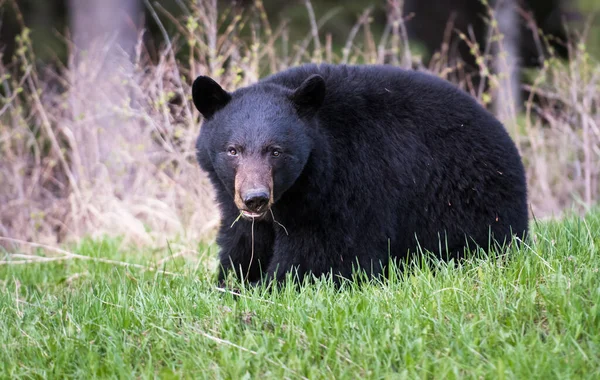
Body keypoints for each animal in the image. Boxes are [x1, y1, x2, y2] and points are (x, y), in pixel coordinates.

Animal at [191, 63, 524, 284]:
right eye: (232, 150)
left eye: (276, 151)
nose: (255, 198)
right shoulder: (235, 202)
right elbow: (242, 241)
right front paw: (231, 282)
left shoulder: (349, 185)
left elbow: (325, 257)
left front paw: (270, 286)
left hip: (466, 202)